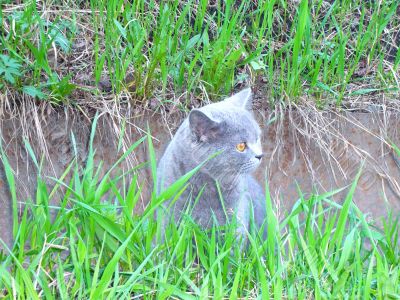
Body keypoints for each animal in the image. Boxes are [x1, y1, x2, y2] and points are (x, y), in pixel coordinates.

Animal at [156, 88, 266, 240]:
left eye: (257, 139)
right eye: (241, 146)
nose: (260, 155)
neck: (207, 188)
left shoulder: (236, 219)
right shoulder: (169, 215)